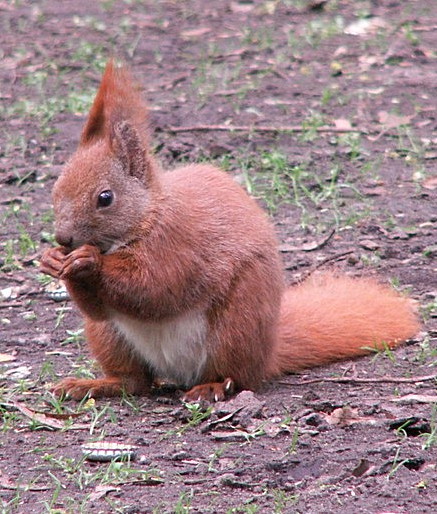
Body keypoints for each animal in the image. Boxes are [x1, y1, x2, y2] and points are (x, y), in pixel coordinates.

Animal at [40, 62, 418, 402]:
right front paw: (52, 260)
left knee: (234, 375)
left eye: (105, 198)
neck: (147, 215)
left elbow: (154, 286)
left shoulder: (178, 242)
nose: (64, 239)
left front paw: (87, 261)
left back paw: (211, 387)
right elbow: (100, 308)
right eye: (55, 191)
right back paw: (93, 385)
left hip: (236, 325)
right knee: (135, 382)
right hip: (109, 338)